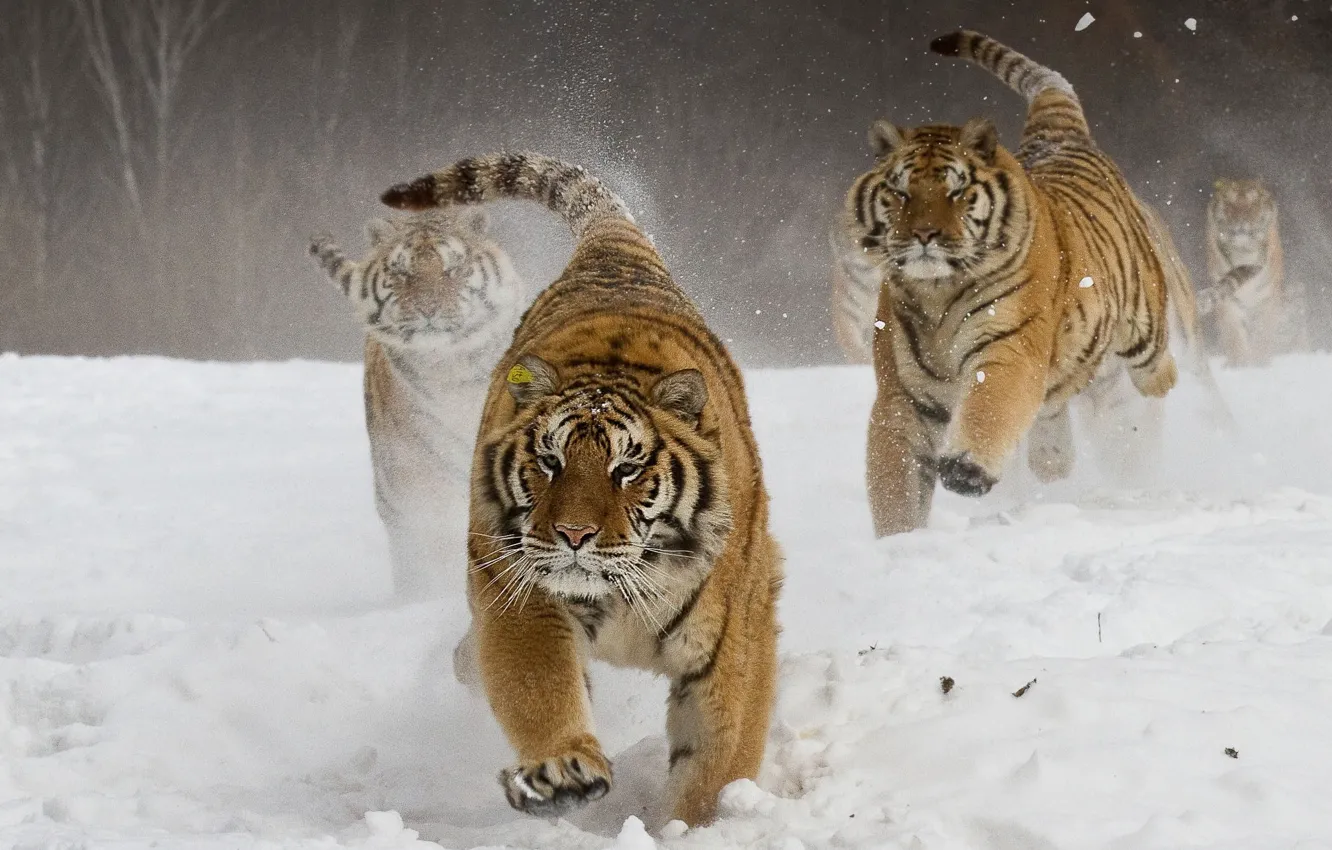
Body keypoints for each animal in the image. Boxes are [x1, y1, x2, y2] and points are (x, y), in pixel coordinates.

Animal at [380, 152, 781, 828]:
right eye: (550, 461)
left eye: (627, 468)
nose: (573, 535)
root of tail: (613, 252)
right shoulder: (522, 597)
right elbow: (540, 689)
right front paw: (562, 773)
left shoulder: (735, 641)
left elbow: (716, 761)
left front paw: (697, 826)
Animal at [844, 30, 1181, 536]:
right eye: (901, 192)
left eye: (956, 191)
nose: (924, 235)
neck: (937, 291)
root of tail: (1059, 134)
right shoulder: (902, 393)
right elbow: (894, 483)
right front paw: (899, 543)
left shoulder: (1010, 348)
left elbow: (990, 406)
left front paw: (966, 469)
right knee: (1054, 418)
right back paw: (1054, 459)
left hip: (1143, 332)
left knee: (1156, 379)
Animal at [1202, 178, 1306, 366]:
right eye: (1229, 202)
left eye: (1253, 202)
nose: (1241, 219)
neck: (1243, 252)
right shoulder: (1228, 300)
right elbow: (1235, 337)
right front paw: (1240, 365)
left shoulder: (1268, 300)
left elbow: (1262, 336)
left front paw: (1259, 365)